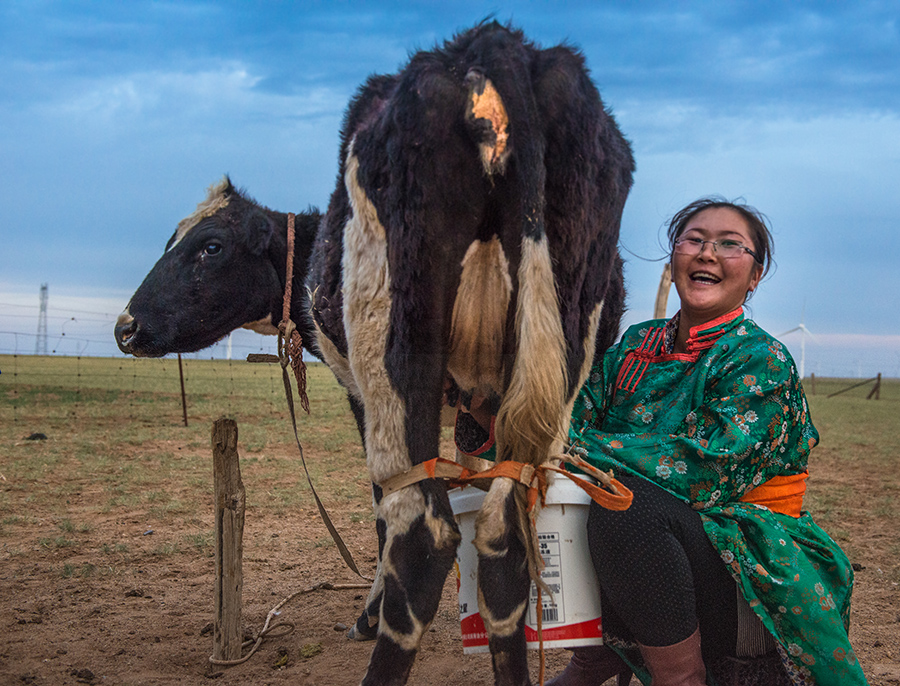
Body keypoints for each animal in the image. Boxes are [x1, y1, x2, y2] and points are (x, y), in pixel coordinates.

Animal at [310, 20, 632, 686]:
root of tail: (493, 46)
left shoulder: (361, 394)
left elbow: (383, 509)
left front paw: (365, 615)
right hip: (558, 353)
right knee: (506, 536)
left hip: (398, 336)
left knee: (421, 534)